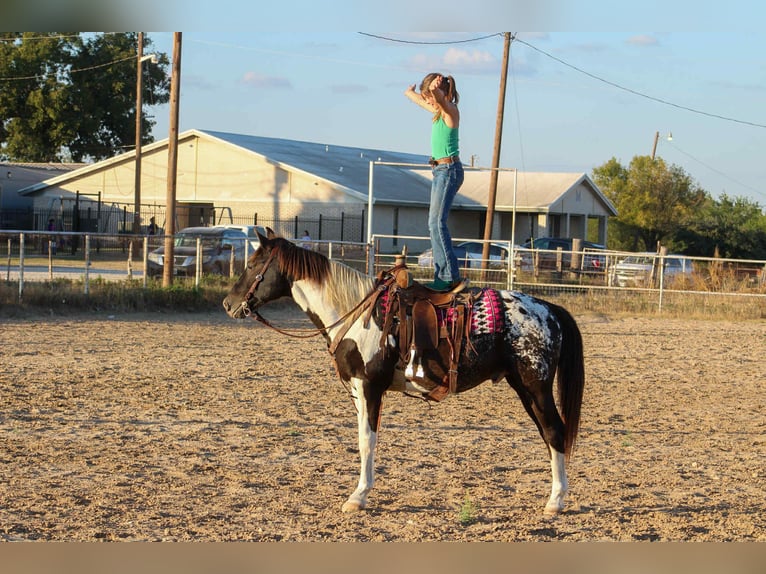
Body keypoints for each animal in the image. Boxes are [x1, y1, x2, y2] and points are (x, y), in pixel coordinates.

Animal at [222, 229, 585, 516]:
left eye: (253, 265)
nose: (228, 304)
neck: (355, 312)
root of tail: (549, 310)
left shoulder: (369, 386)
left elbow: (367, 441)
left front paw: (358, 497)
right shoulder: (358, 392)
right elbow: (364, 438)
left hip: (535, 386)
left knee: (554, 432)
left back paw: (555, 501)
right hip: (525, 388)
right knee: (548, 435)